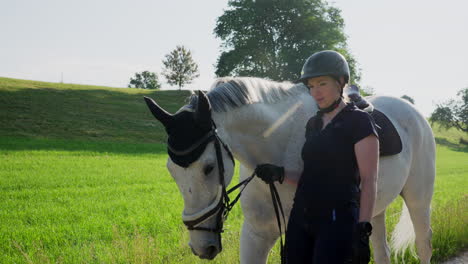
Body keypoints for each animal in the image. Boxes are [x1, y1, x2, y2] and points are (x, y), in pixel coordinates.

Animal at [144, 77, 436, 264]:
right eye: (172, 171)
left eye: (208, 168)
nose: (201, 246)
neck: (279, 144)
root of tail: (413, 111)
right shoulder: (255, 235)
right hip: (373, 210)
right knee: (382, 250)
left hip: (419, 201)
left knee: (424, 245)